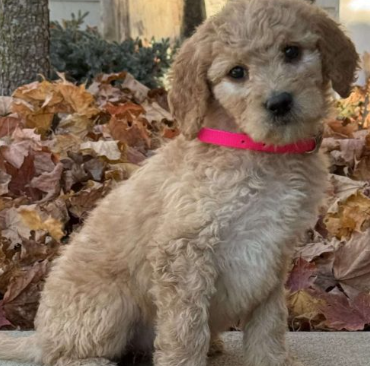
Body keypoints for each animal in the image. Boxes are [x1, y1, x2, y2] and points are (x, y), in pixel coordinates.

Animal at [0, 0, 358, 366]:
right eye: (237, 73)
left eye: (291, 51)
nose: (279, 102)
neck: (259, 151)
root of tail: (39, 336)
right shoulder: (183, 251)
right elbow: (185, 331)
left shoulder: (275, 252)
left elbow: (269, 323)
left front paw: (271, 360)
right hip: (109, 305)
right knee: (61, 353)